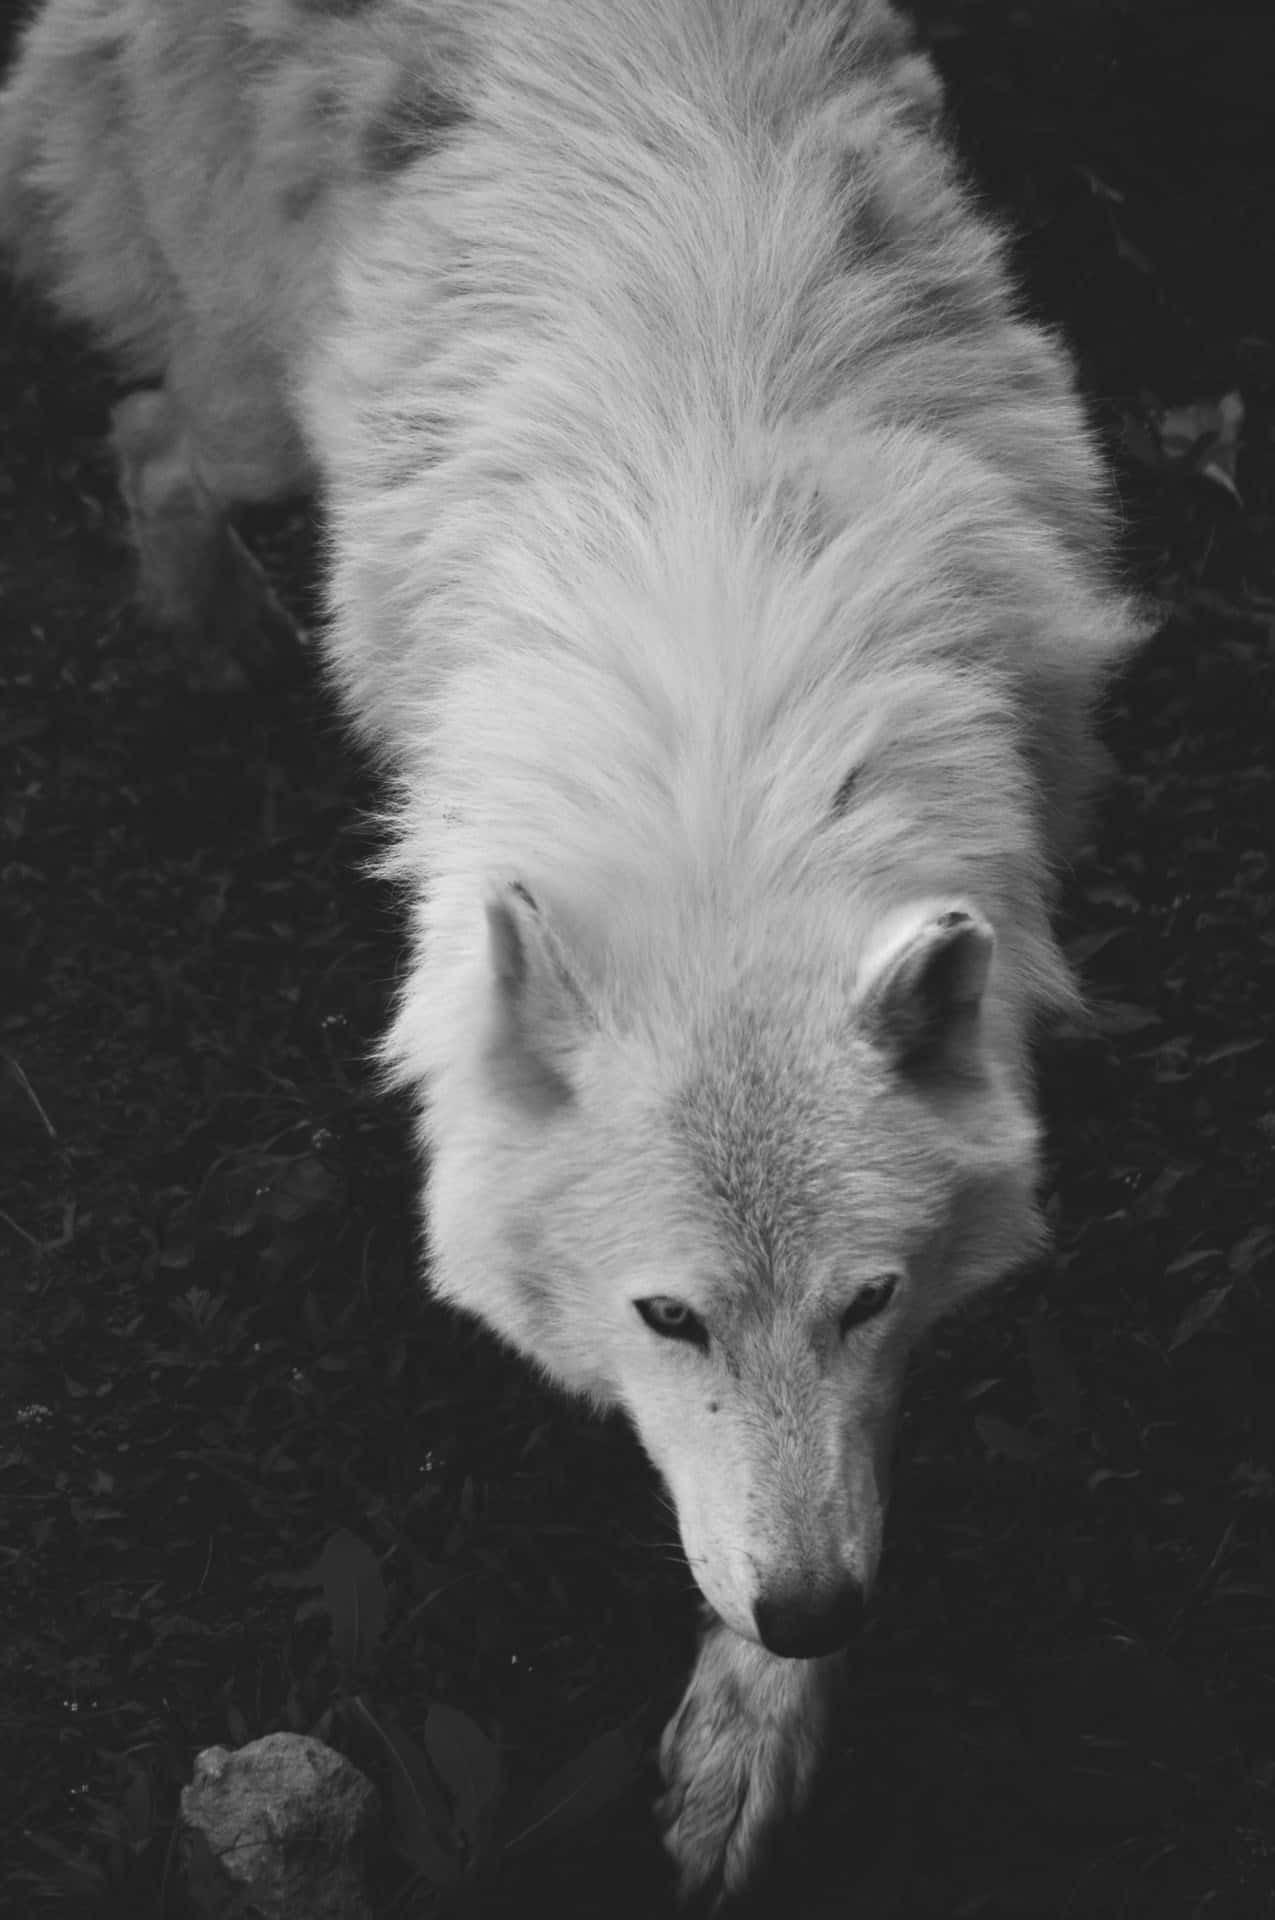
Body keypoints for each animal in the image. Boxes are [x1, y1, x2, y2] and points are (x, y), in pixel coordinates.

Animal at [1, 0, 1145, 1901]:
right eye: (666, 1318)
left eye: (867, 1299)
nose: (816, 1617)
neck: (725, 758)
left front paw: (754, 1735)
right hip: (258, 413)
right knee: (151, 433)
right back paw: (203, 639)